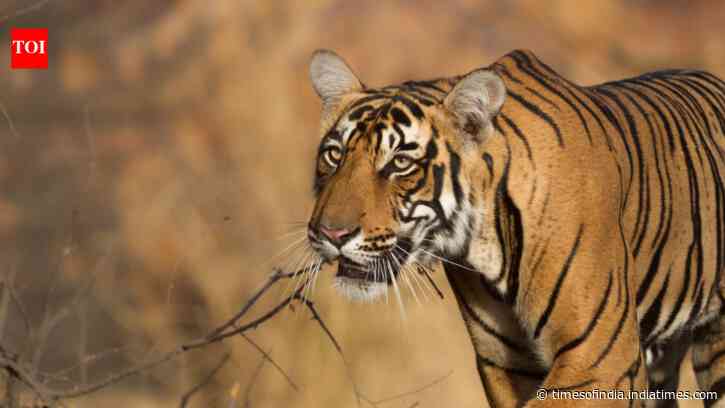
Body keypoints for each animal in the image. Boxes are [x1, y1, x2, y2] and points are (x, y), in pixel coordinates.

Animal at [302, 49, 725, 407]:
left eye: (400, 163)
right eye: (334, 155)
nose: (331, 235)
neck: (485, 244)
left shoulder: (599, 358)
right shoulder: (508, 363)